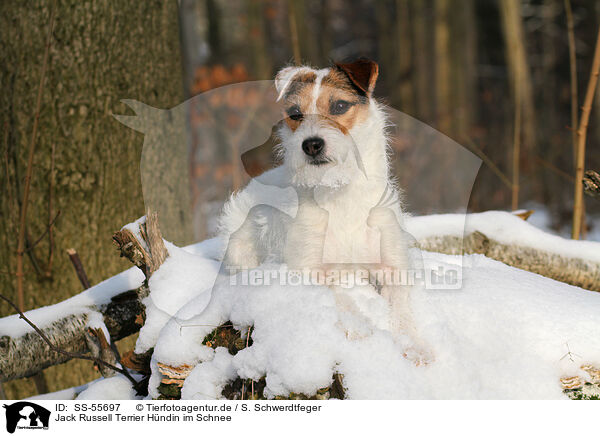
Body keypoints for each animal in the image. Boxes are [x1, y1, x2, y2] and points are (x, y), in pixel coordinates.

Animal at [216, 59, 426, 362]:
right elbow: (338, 294)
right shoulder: (310, 269)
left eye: (339, 106)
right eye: (295, 114)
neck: (340, 190)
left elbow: (402, 312)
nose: (311, 144)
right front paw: (358, 325)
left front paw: (414, 346)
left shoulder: (392, 267)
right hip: (239, 251)